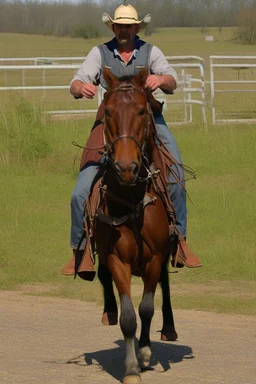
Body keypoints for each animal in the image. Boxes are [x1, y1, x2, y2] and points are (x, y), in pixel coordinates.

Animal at [93, 67, 177, 382]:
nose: (126, 168)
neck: (132, 201)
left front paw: (144, 353)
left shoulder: (154, 259)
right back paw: (108, 312)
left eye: (142, 110)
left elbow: (146, 309)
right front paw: (130, 369)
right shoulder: (117, 259)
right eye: (108, 112)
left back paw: (169, 329)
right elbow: (129, 317)